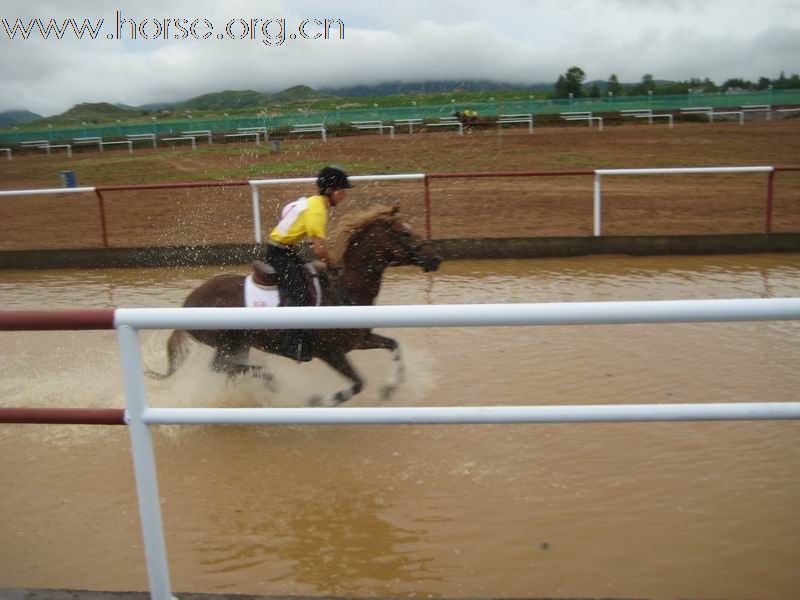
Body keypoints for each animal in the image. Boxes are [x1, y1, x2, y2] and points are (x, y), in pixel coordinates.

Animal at [150, 206, 444, 408]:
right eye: (405, 233)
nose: (436, 257)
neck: (346, 291)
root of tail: (188, 302)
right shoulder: (330, 352)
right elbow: (358, 383)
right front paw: (317, 400)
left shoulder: (358, 341)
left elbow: (394, 346)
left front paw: (390, 389)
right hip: (228, 343)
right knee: (223, 368)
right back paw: (270, 382)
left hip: (240, 344)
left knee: (229, 370)